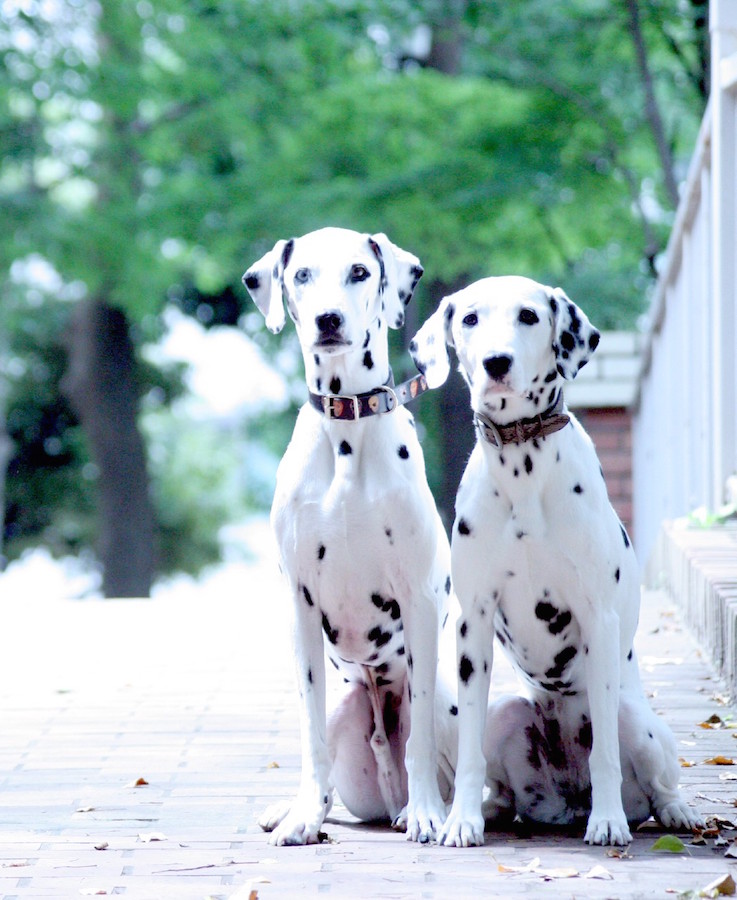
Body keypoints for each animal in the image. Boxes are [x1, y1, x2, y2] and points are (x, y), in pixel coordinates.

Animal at [244, 227, 458, 844]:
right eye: (302, 275)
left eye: (360, 272)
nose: (329, 319)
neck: (346, 430)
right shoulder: (300, 605)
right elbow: (309, 734)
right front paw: (303, 816)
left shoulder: (418, 598)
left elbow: (420, 738)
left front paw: (428, 814)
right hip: (345, 702)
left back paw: (420, 807)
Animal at [408, 272, 700, 844]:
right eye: (470, 318)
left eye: (528, 315)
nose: (497, 362)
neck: (522, 466)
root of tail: (567, 802)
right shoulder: (472, 622)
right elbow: (469, 752)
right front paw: (461, 820)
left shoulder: (598, 617)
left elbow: (604, 754)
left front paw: (608, 821)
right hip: (503, 712)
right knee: (498, 775)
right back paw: (492, 809)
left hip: (642, 725)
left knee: (657, 782)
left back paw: (669, 811)